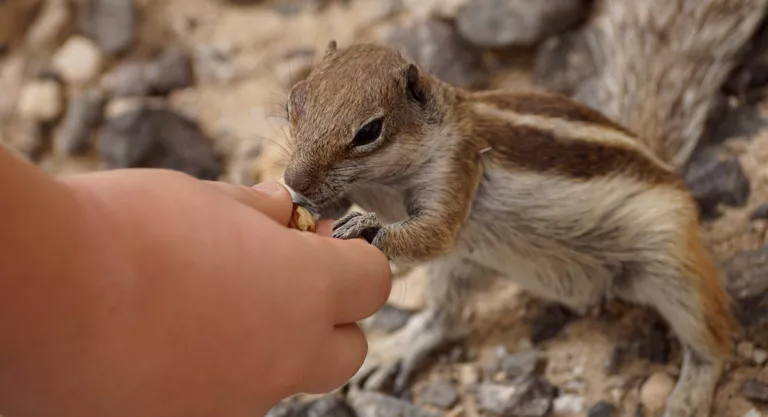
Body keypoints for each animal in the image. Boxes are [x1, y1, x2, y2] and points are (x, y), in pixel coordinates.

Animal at [282, 39, 736, 416]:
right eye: (293, 101)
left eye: (369, 131)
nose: (292, 179)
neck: (382, 182)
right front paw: (301, 204)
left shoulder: (457, 169)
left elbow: (437, 232)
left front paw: (364, 227)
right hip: (462, 267)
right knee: (446, 319)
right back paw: (397, 348)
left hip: (672, 262)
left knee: (712, 344)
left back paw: (688, 397)